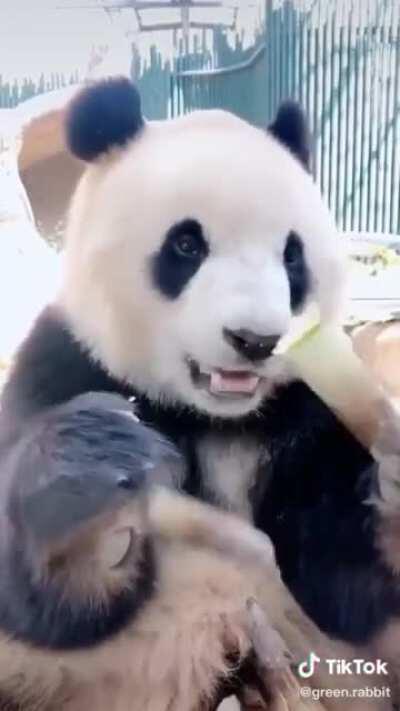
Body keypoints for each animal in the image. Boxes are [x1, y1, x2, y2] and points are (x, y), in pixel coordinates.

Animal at [0, 77, 398, 709]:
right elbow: (47, 607)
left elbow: (347, 592)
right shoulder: (63, 366)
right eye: (186, 245)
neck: (217, 417)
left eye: (292, 254)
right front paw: (92, 483)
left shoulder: (306, 407)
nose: (255, 340)